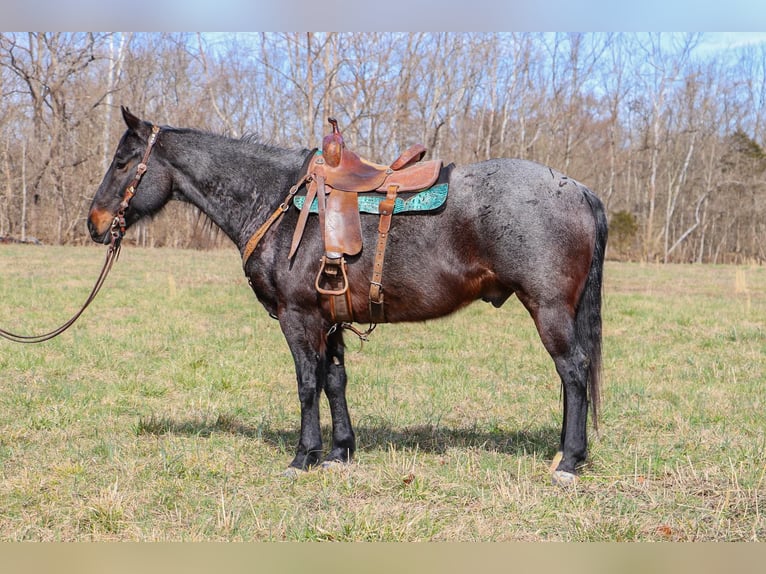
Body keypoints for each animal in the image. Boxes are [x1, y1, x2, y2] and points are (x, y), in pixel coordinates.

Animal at [87, 108, 608, 486]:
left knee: (573, 372)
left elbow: (306, 383)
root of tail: (579, 189)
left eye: (122, 162)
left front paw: (303, 456)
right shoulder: (330, 318)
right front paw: (339, 452)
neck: (275, 200)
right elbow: (335, 381)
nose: (94, 223)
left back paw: (568, 462)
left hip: (548, 310)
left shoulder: (298, 318)